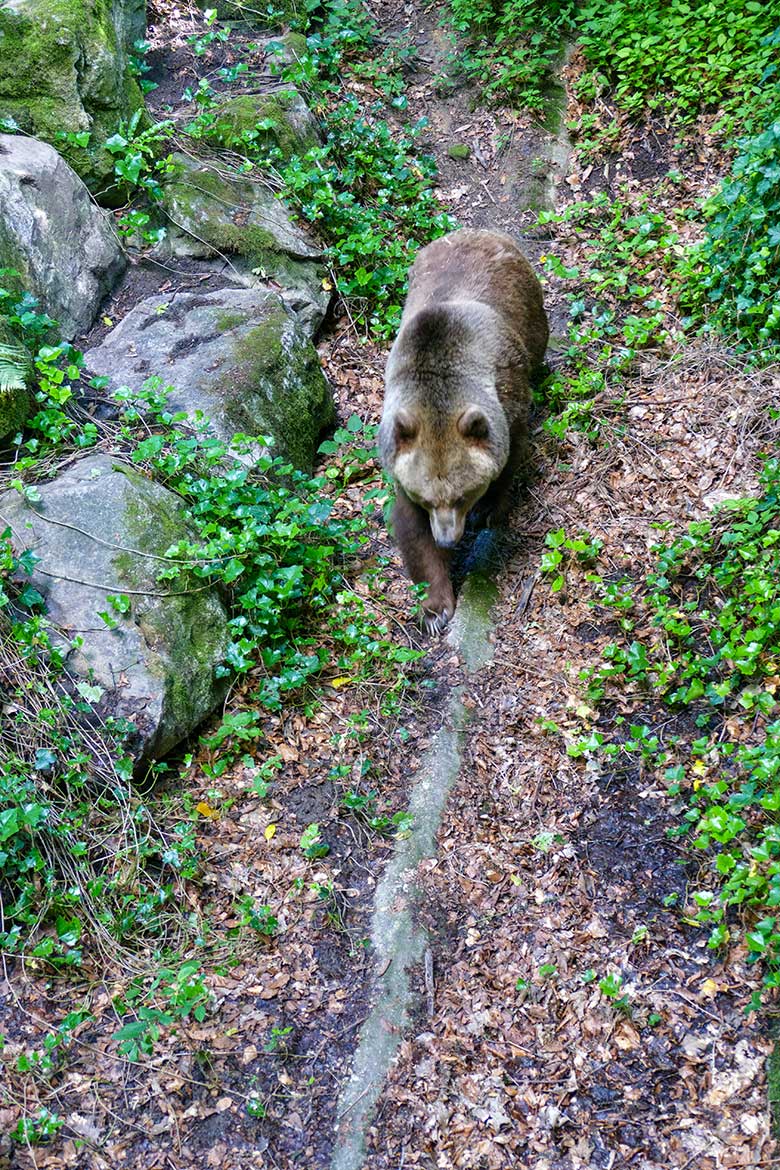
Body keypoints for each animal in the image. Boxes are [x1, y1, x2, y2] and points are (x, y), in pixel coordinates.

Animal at [378, 226, 549, 631]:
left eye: (462, 495)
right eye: (427, 498)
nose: (447, 539)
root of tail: (475, 232)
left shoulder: (506, 404)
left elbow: (510, 456)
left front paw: (490, 507)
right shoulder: (403, 455)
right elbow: (411, 529)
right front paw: (435, 608)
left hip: (525, 302)